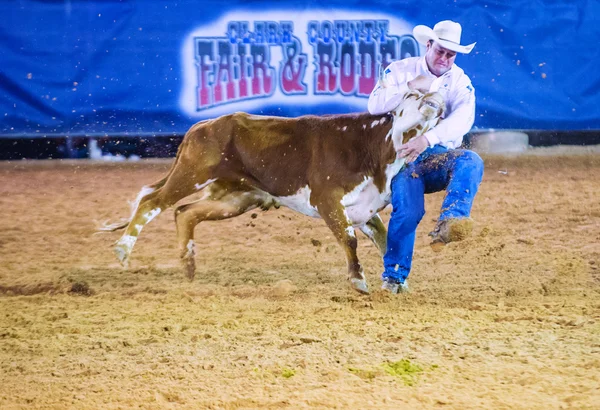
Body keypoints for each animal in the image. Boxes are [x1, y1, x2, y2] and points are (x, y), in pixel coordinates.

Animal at [101, 91, 442, 294]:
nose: (433, 95)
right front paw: (358, 281)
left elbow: (387, 242)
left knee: (185, 212)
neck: (372, 146)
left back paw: (188, 264)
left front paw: (398, 284)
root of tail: (202, 125)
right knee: (151, 202)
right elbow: (349, 240)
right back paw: (123, 250)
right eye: (411, 95)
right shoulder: (327, 199)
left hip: (237, 197)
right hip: (191, 174)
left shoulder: (365, 209)